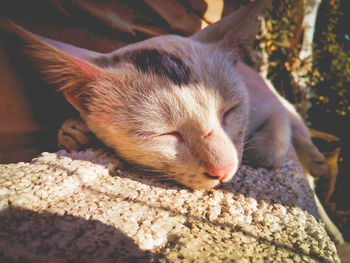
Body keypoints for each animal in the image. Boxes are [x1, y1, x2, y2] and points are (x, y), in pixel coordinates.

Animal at [2, 0, 328, 192]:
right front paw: (75, 130)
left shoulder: (268, 101)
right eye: (165, 134)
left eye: (230, 113)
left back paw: (316, 160)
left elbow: (277, 134)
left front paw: (260, 149)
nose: (222, 170)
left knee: (297, 124)